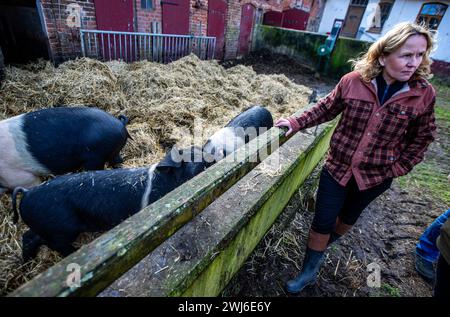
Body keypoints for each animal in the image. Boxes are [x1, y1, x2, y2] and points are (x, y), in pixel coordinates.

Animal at [0, 106, 130, 193]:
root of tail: (120, 124)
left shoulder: (18, 176)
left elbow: (32, 183)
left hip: (95, 156)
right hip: (112, 151)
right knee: (118, 160)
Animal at [12, 146, 209, 260]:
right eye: (193, 158)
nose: (211, 156)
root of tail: (28, 193)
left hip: (46, 227)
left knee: (28, 237)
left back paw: (28, 260)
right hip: (61, 230)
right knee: (55, 245)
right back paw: (74, 252)